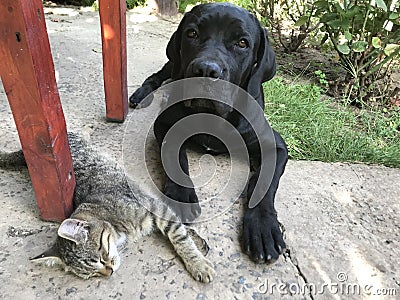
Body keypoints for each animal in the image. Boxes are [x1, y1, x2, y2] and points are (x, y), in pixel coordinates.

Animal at [0, 132, 216, 282]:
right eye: (91, 274)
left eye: (100, 259)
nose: (109, 272)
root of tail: (24, 154)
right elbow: (180, 229)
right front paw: (196, 244)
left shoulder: (156, 207)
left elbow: (180, 237)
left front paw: (197, 263)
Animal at [129, 2, 288, 264]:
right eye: (192, 33)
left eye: (242, 43)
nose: (205, 69)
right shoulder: (165, 125)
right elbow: (175, 158)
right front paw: (181, 195)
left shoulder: (274, 145)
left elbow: (264, 182)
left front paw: (263, 227)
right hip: (171, 66)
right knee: (158, 76)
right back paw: (141, 95)